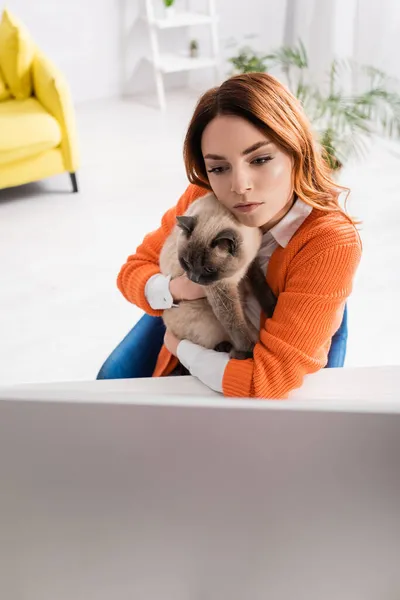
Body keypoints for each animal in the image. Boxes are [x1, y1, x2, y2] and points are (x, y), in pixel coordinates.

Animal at [158, 195, 276, 358]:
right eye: (186, 262)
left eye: (208, 269)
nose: (193, 279)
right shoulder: (221, 291)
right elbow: (235, 324)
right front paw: (249, 349)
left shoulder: (251, 265)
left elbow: (262, 288)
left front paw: (273, 310)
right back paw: (233, 350)